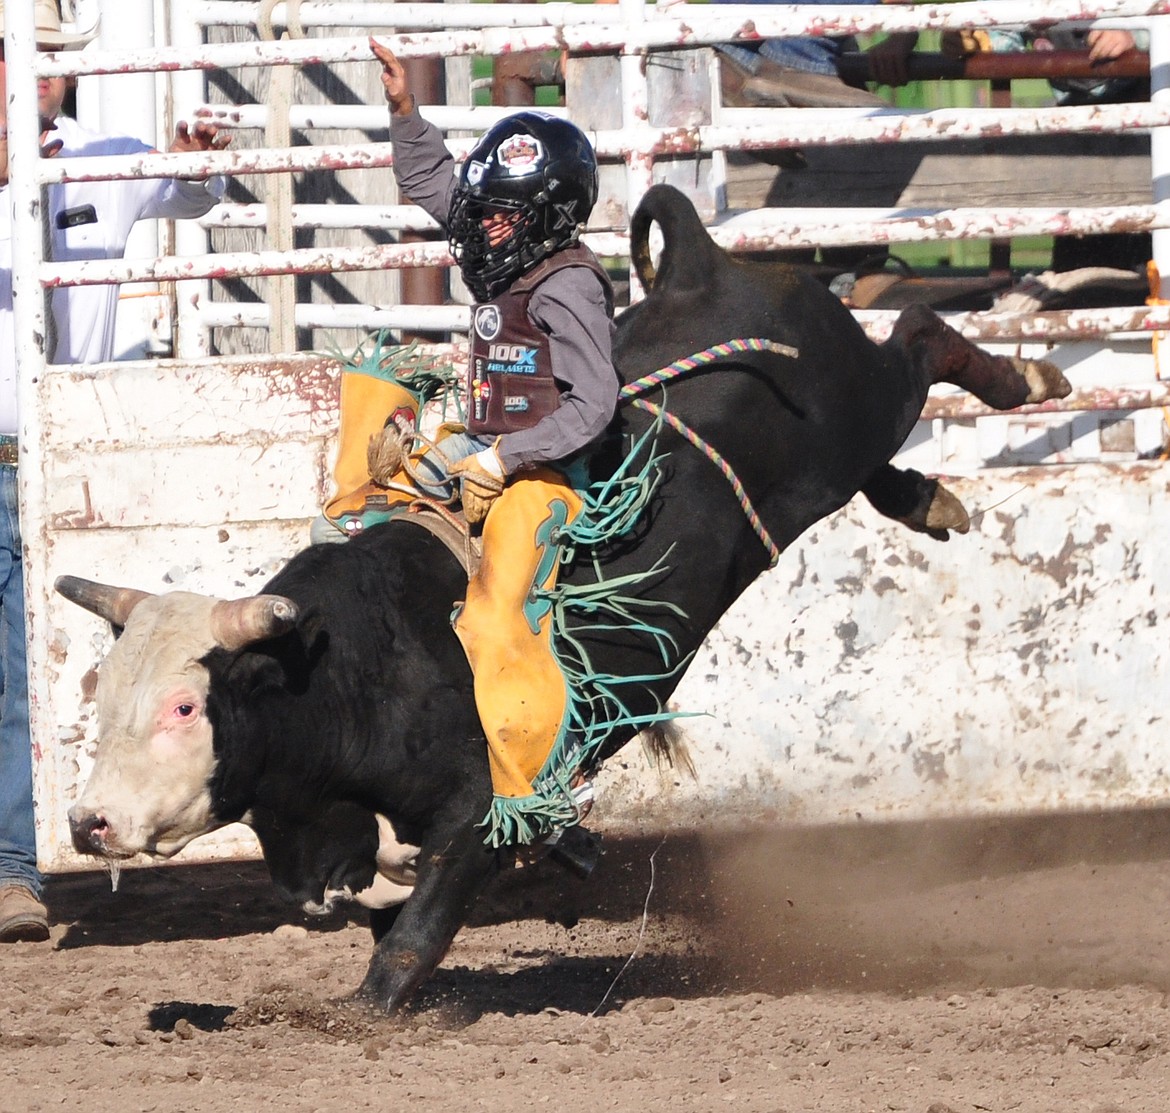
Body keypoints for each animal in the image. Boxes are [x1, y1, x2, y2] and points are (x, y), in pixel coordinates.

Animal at [54, 187, 1067, 1015]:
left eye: (185, 707)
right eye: (103, 700)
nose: (86, 822)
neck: (350, 664)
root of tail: (703, 264)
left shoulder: (477, 806)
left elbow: (418, 924)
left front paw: (367, 1009)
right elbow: (365, 894)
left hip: (857, 404)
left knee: (922, 334)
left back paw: (1029, 377)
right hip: (839, 453)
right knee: (890, 441)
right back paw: (930, 498)